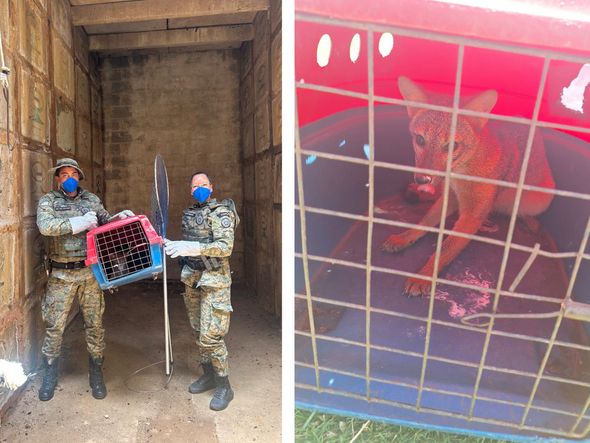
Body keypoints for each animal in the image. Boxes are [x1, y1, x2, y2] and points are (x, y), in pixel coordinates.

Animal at [386, 77, 556, 296]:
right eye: (420, 140)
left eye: (451, 146)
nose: (422, 179)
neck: (461, 174)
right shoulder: (450, 196)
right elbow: (426, 221)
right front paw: (404, 237)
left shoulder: (471, 215)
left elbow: (445, 249)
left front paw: (424, 276)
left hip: (539, 199)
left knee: (522, 213)